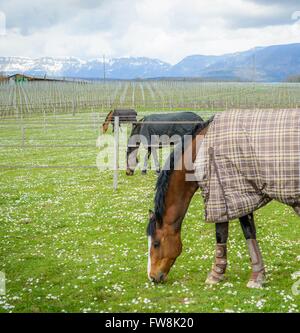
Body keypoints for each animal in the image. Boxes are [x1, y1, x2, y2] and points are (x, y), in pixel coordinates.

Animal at [147, 109, 300, 288]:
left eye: (156, 243)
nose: (152, 277)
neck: (203, 150)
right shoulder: (229, 196)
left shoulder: (228, 193)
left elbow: (230, 232)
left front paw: (220, 274)